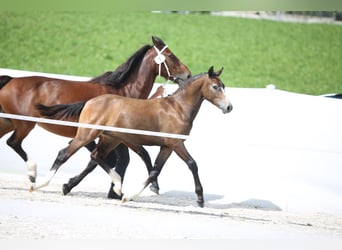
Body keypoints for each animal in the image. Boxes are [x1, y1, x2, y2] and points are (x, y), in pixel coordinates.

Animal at [0, 36, 191, 198]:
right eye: (170, 55)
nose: (188, 75)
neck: (123, 91)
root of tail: (10, 80)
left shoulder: (112, 137)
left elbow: (112, 160)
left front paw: (113, 191)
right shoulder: (118, 136)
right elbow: (137, 155)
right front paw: (152, 185)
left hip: (8, 122)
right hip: (24, 124)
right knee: (13, 142)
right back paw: (32, 173)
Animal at [33, 67, 234, 207]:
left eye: (224, 86)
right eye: (215, 87)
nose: (229, 107)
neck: (177, 108)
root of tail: (89, 101)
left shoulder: (167, 147)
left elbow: (154, 171)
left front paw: (130, 196)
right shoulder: (176, 143)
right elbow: (192, 164)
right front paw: (200, 198)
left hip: (110, 139)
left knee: (95, 157)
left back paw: (114, 186)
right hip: (87, 135)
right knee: (64, 154)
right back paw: (38, 185)